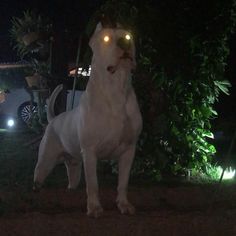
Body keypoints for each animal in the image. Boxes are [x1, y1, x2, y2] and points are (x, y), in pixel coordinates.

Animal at [33, 22, 142, 218]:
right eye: (106, 38)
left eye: (128, 36)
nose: (124, 43)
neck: (117, 90)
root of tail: (53, 119)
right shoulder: (90, 152)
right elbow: (93, 184)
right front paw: (94, 208)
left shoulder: (129, 150)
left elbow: (123, 183)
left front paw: (123, 204)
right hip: (47, 157)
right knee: (39, 171)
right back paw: (37, 187)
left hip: (74, 163)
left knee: (73, 177)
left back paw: (71, 190)